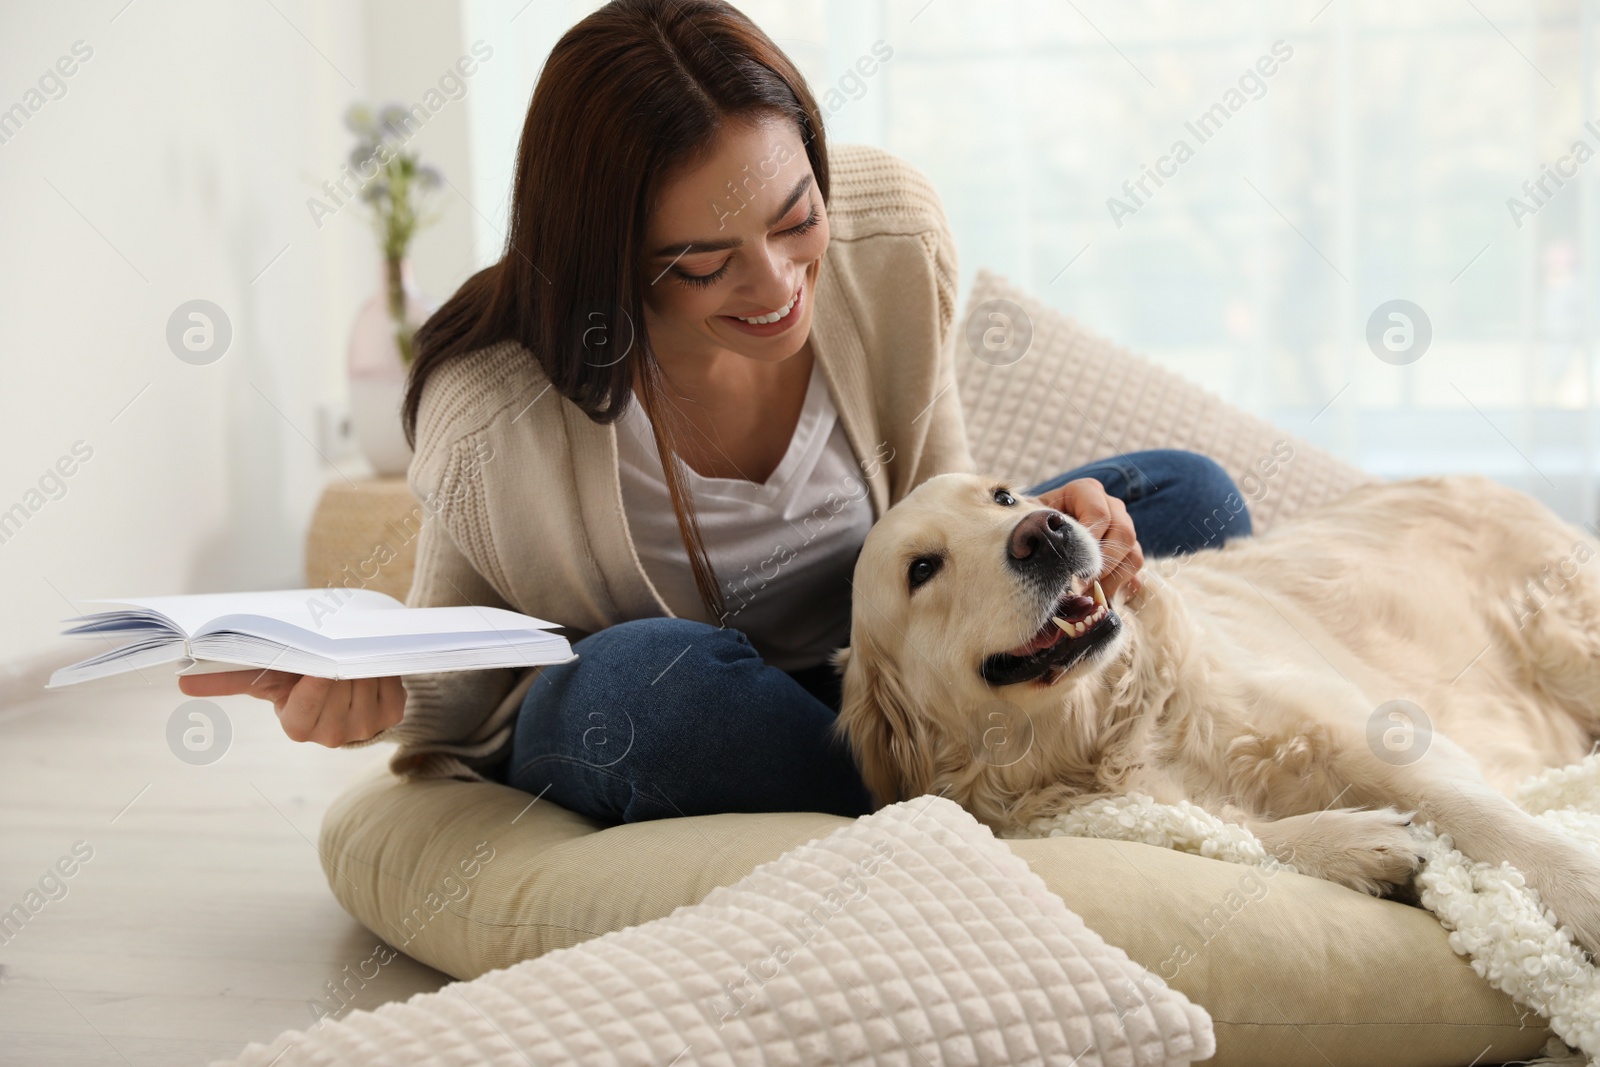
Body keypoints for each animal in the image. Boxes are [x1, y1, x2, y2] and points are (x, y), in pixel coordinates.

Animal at [832, 473, 1600, 953]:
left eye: (1002, 495)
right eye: (922, 569)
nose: (1045, 530)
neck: (1102, 730)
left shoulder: (1365, 730)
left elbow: (1484, 817)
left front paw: (1583, 889)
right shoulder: (1096, 810)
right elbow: (1225, 829)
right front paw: (1357, 842)